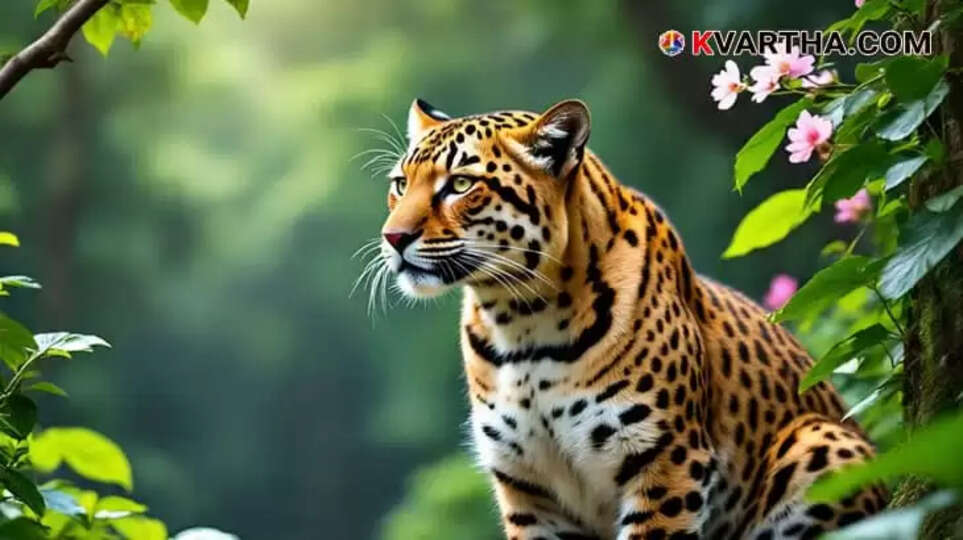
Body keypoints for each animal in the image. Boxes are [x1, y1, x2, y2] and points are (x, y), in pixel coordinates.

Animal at [371, 98, 886, 539]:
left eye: (460, 184)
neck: (520, 323)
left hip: (821, 443)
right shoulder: (526, 486)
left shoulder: (666, 458)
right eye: (400, 184)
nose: (392, 237)